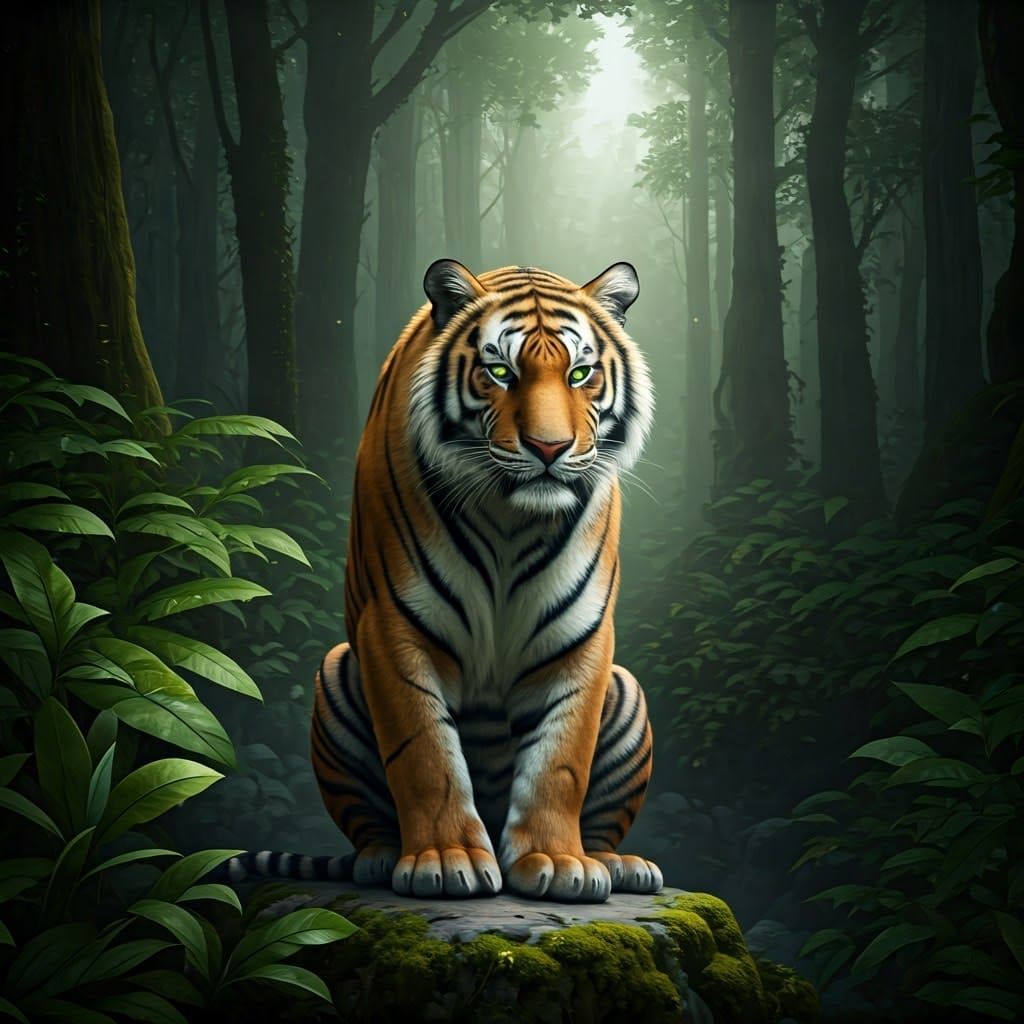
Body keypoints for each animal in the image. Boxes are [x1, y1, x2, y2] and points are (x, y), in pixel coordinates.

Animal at [304, 260, 662, 904]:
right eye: (500, 371)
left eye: (580, 373)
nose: (549, 447)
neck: (511, 519)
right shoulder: (393, 626)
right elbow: (424, 754)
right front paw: (445, 862)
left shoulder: (581, 640)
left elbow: (561, 762)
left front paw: (557, 862)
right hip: (335, 669)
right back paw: (380, 857)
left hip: (628, 690)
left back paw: (617, 863)